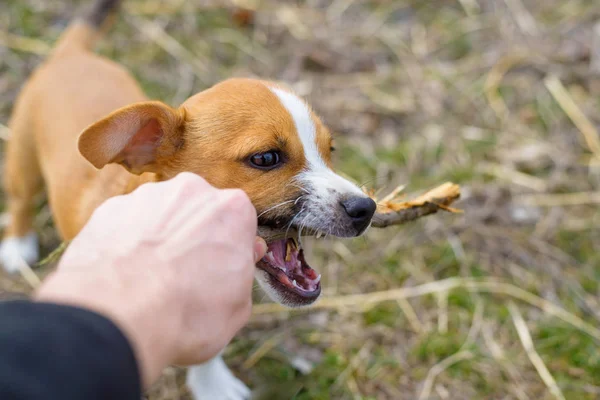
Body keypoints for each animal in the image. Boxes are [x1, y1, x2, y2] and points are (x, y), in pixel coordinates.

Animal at [1, 1, 376, 398]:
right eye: (266, 158)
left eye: (330, 151)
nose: (366, 209)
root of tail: (73, 55)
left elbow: (207, 349)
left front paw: (212, 383)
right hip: (22, 158)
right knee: (21, 199)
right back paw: (17, 243)